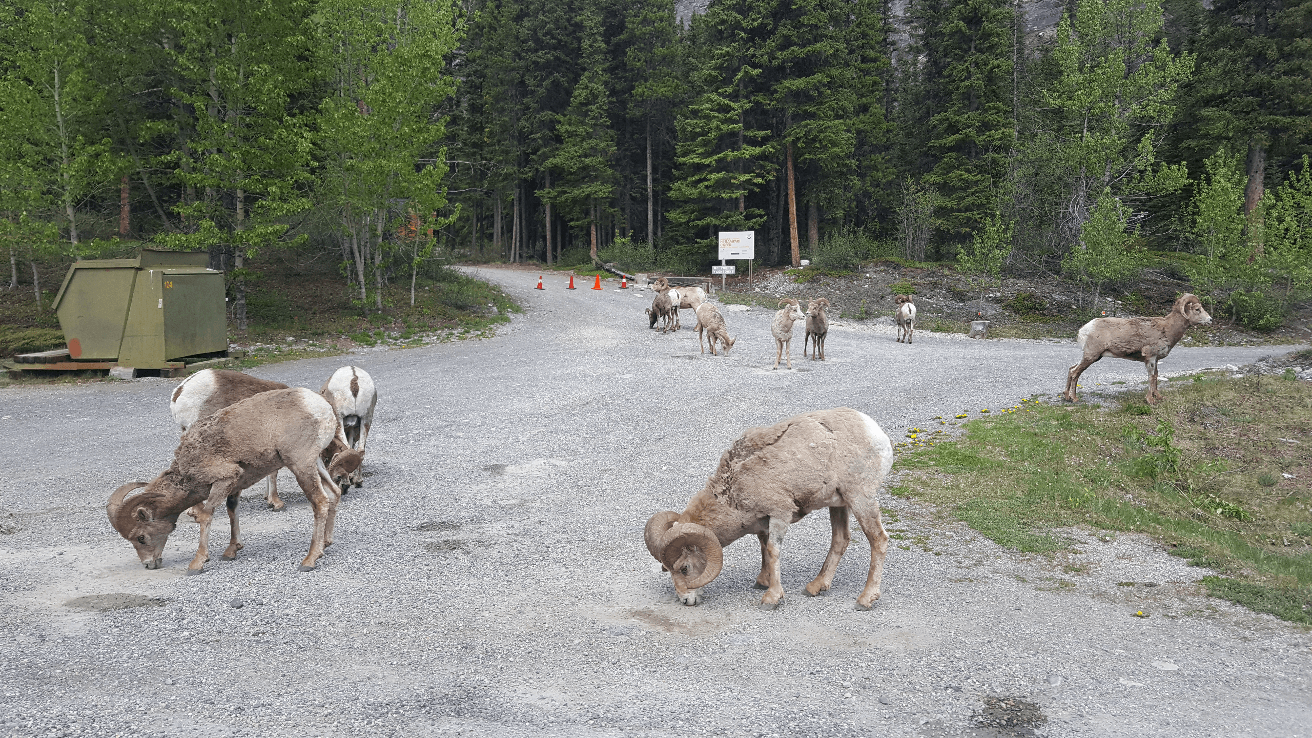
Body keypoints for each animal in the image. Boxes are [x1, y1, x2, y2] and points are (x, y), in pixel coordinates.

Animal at [108, 388, 363, 574]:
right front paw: (232, 551)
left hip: (300, 464)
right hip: (315, 463)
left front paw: (197, 563)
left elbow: (206, 515)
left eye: (141, 537)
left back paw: (309, 560)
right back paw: (325, 545)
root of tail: (321, 407)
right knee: (333, 494)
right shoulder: (235, 484)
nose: (149, 564)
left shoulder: (224, 478)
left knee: (320, 501)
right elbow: (232, 511)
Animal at [644, 407, 893, 610]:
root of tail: (876, 433)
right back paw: (815, 586)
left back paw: (865, 599)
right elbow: (763, 546)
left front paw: (771, 598)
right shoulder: (764, 521)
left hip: (860, 498)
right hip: (838, 504)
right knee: (840, 539)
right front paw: (762, 582)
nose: (687, 600)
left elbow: (773, 551)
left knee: (878, 540)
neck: (734, 486)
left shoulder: (780, 514)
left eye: (684, 568)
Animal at [1064, 293, 1212, 405]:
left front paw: (1159, 397)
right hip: (1091, 355)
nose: (1210, 320)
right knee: (1075, 372)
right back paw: (1074, 399)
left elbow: (1156, 376)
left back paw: (1066, 397)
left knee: (1071, 369)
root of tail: (1085, 329)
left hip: (1092, 356)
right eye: (1197, 309)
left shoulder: (1156, 359)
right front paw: (1150, 400)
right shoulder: (1150, 357)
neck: (1167, 329)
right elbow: (1151, 377)